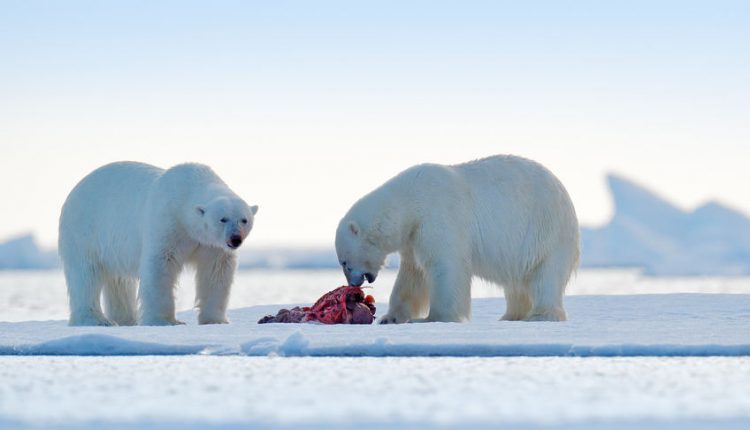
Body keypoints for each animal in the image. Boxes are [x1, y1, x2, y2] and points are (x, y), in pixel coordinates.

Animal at [58, 161, 258, 326]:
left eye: (244, 220)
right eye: (222, 219)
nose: (235, 239)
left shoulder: (212, 245)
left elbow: (216, 271)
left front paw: (215, 320)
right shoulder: (168, 222)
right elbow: (161, 265)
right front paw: (164, 321)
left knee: (119, 280)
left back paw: (126, 320)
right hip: (85, 230)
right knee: (86, 274)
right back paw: (96, 320)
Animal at [335, 155, 579, 323]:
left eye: (345, 262)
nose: (353, 284)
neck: (409, 202)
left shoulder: (438, 215)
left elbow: (445, 265)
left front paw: (433, 318)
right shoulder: (413, 237)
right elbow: (412, 275)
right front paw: (390, 318)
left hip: (545, 231)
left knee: (546, 275)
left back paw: (541, 314)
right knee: (516, 284)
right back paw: (511, 315)